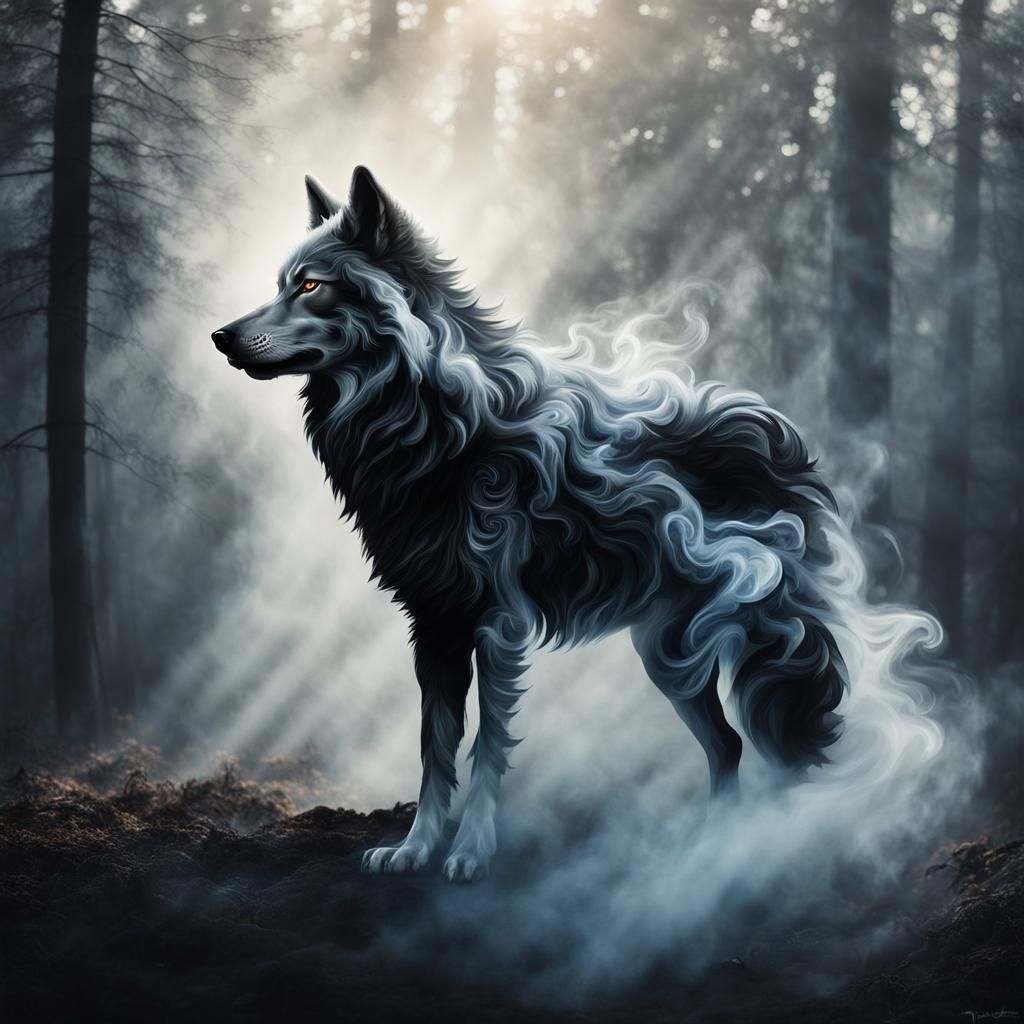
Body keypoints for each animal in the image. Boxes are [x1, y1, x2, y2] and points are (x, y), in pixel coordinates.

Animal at [212, 167, 848, 883]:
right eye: (280, 284)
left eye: (310, 286)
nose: (221, 336)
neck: (432, 424)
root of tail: (783, 435)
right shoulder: (433, 624)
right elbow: (434, 748)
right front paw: (414, 849)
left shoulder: (499, 624)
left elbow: (487, 746)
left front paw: (469, 854)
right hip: (670, 657)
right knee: (729, 745)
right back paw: (709, 850)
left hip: (740, 649)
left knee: (771, 745)